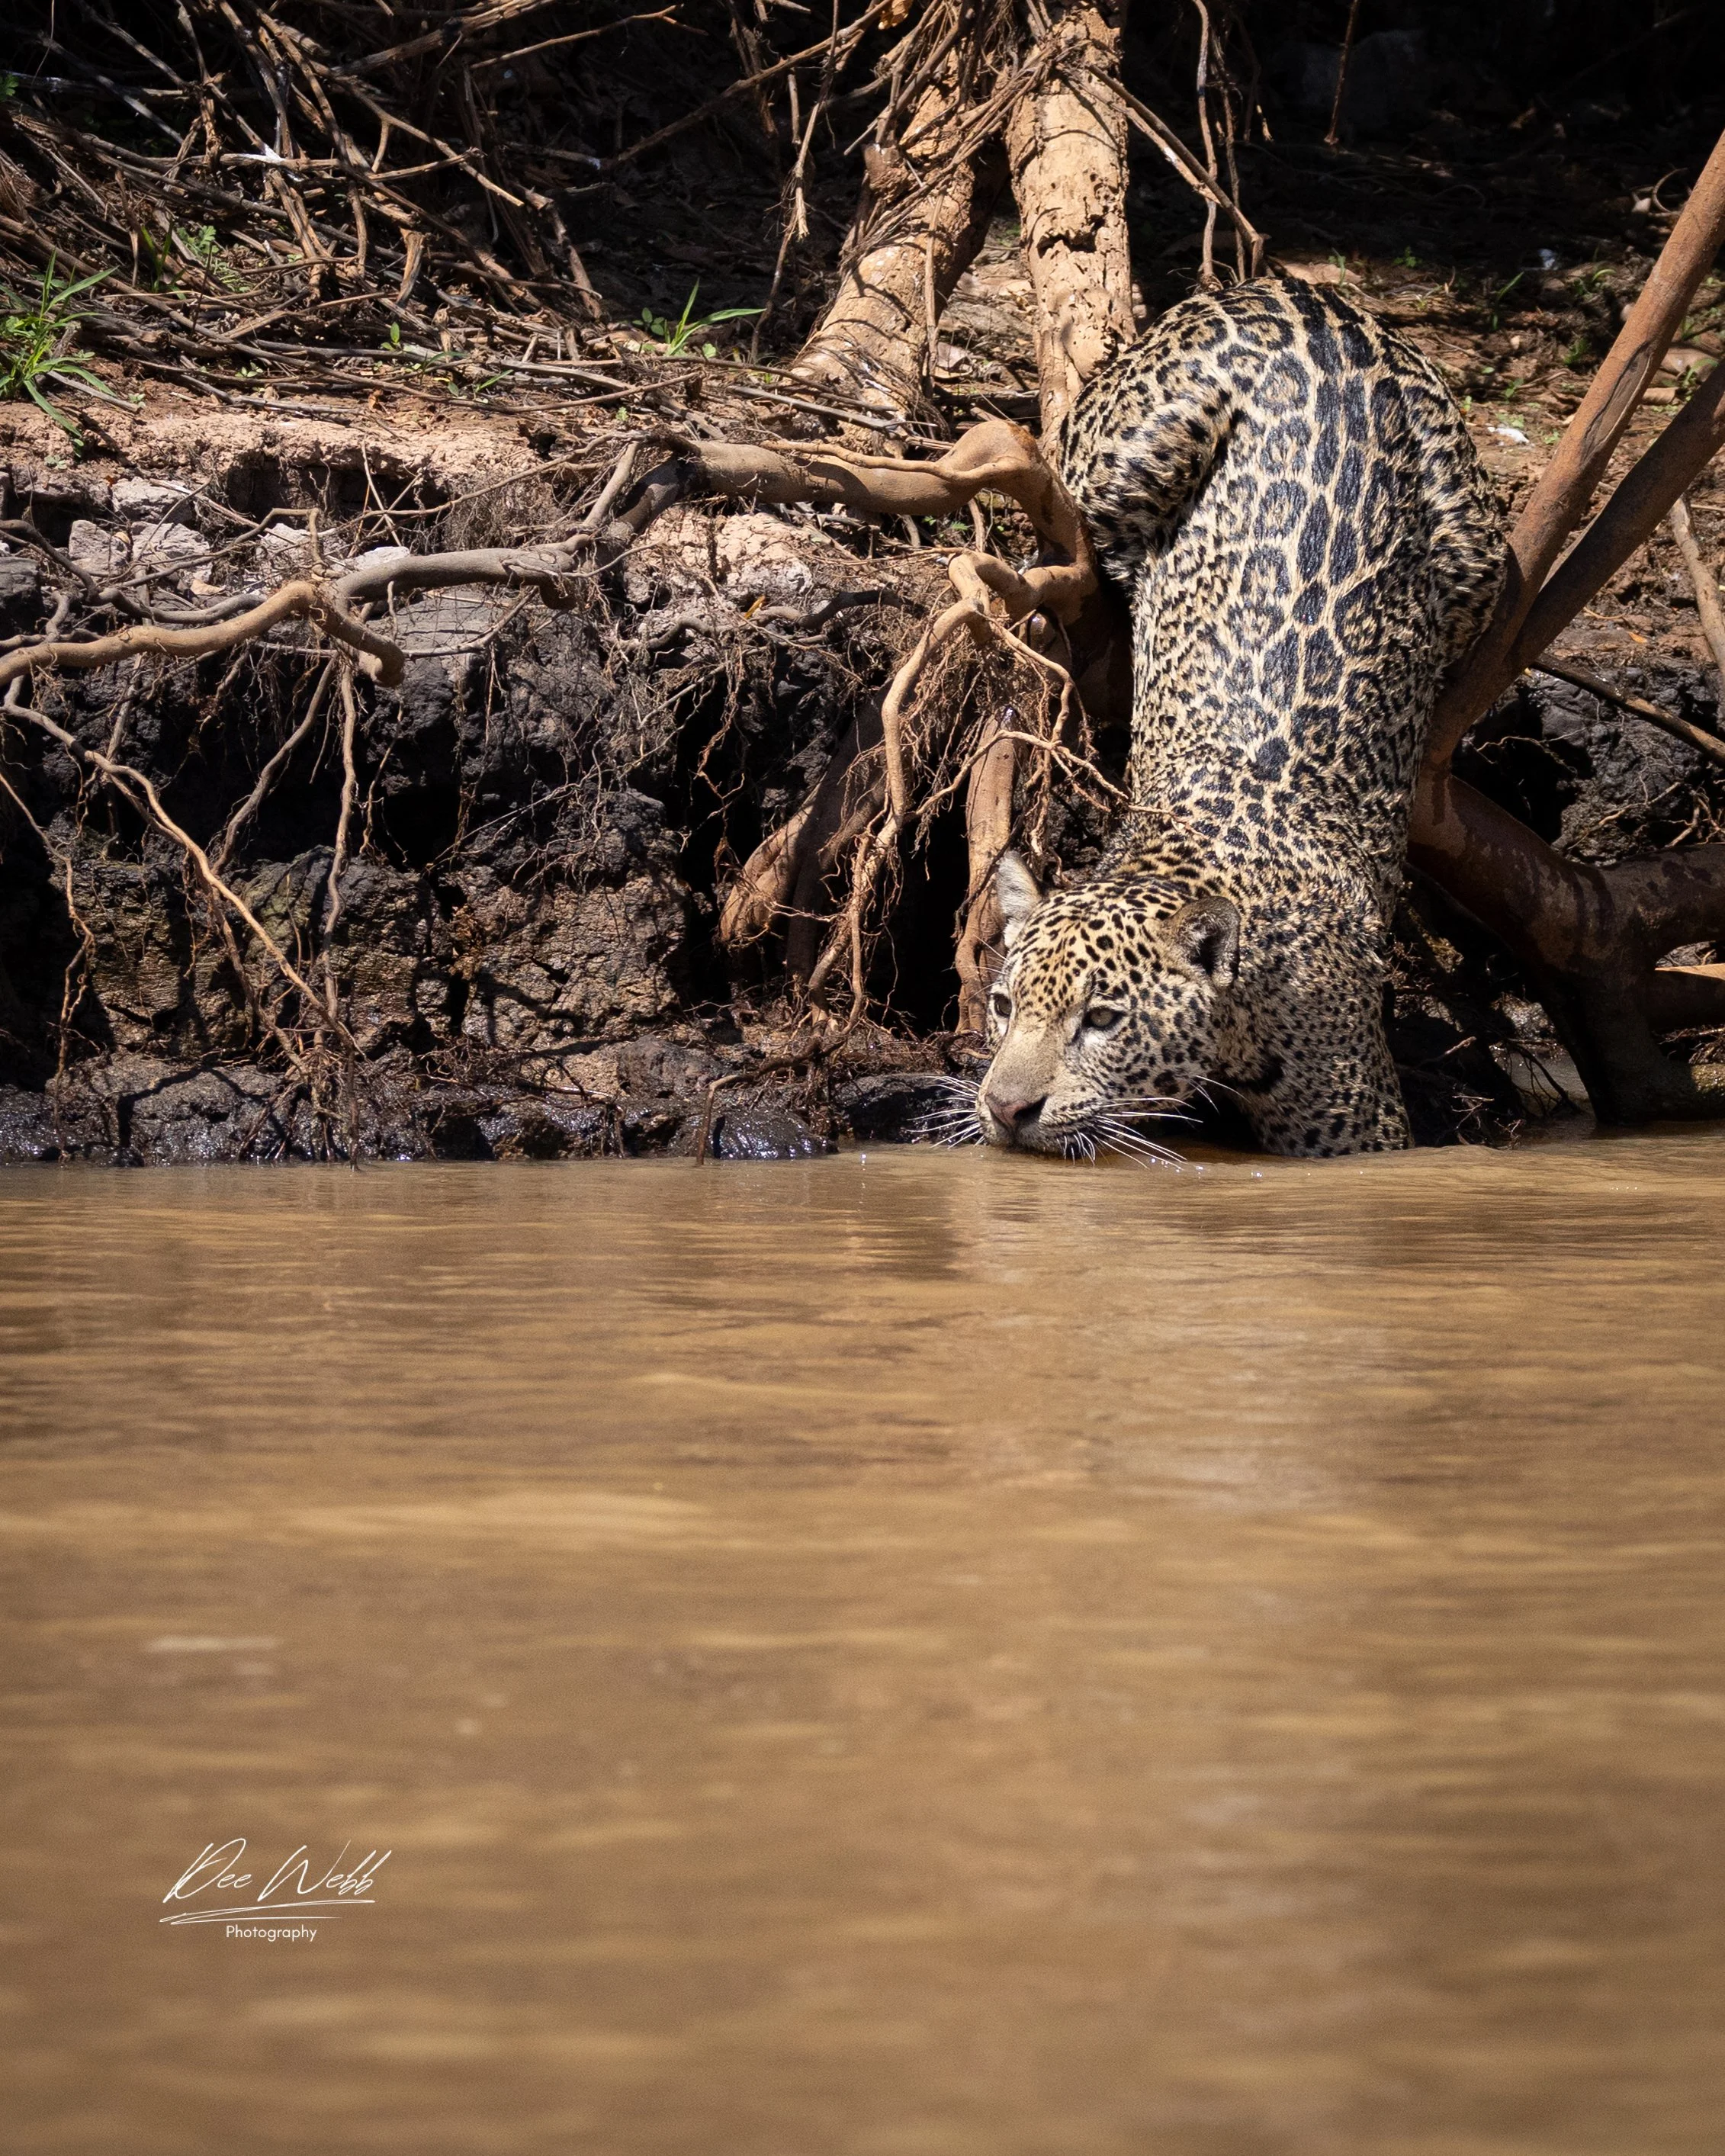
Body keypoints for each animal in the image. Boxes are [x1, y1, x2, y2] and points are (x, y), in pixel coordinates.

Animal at [974, 274, 1505, 1161]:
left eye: (1103, 1019)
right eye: (1005, 1006)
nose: (1007, 1108)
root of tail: (1310, 293)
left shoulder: (1359, 1131)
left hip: (1477, 556)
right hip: (1125, 460)